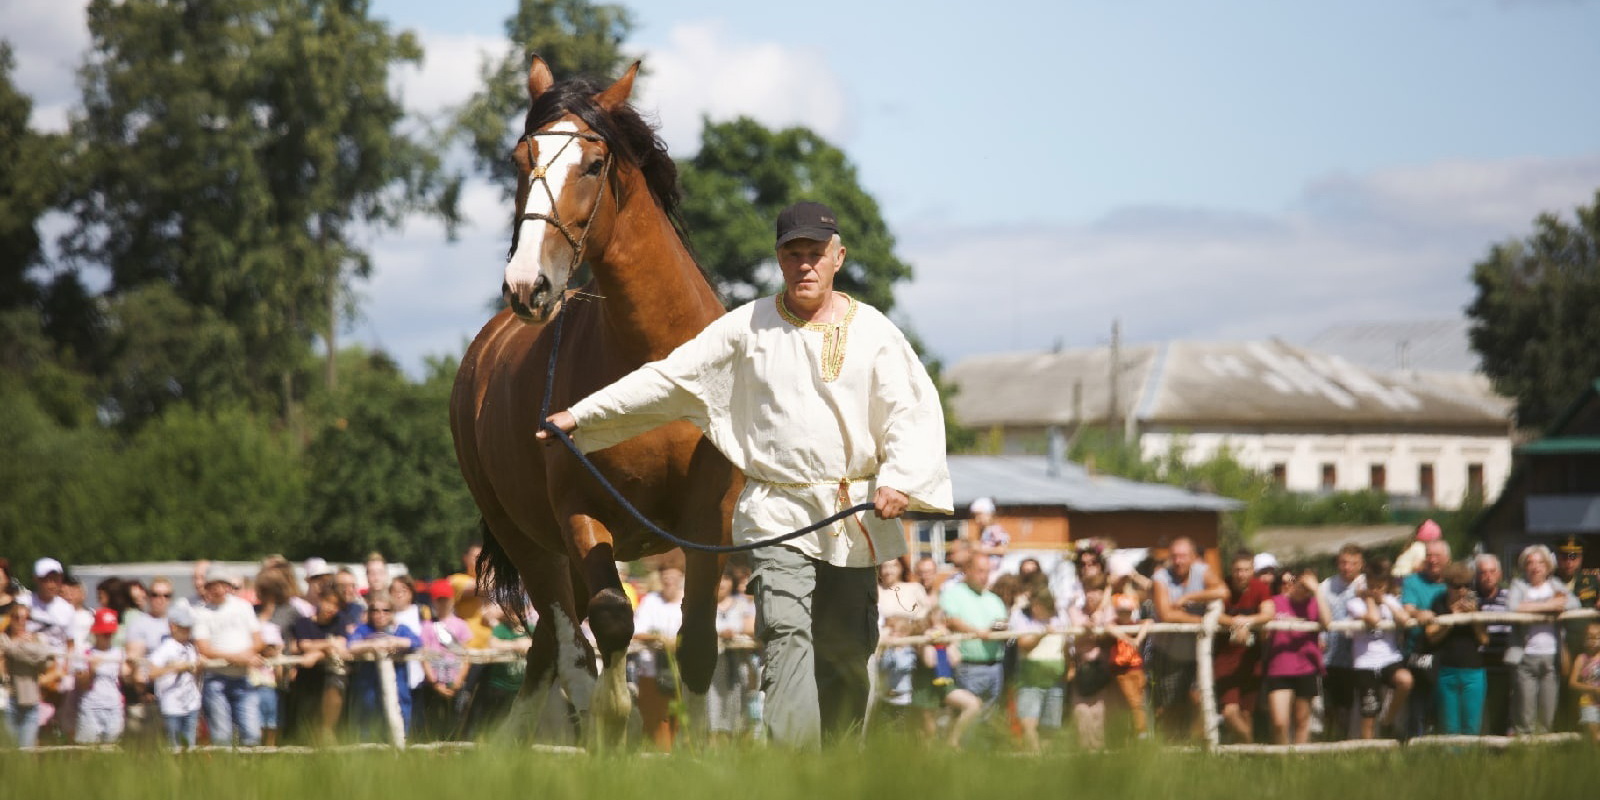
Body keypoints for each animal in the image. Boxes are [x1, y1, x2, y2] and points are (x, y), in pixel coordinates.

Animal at [448, 58, 739, 742]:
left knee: (547, 651)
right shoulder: (581, 511)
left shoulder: (707, 521)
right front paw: (615, 727)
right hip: (533, 544)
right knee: (565, 645)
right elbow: (611, 623)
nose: (527, 285)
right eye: (521, 156)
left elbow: (696, 643)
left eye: (594, 162)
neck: (657, 374)